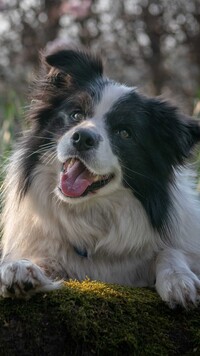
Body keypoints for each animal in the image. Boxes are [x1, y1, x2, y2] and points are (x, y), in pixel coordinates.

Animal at [0, 48, 200, 308]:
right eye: (76, 114)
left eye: (125, 133)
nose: (82, 138)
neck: (90, 213)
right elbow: (40, 260)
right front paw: (20, 269)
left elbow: (170, 251)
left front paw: (179, 281)